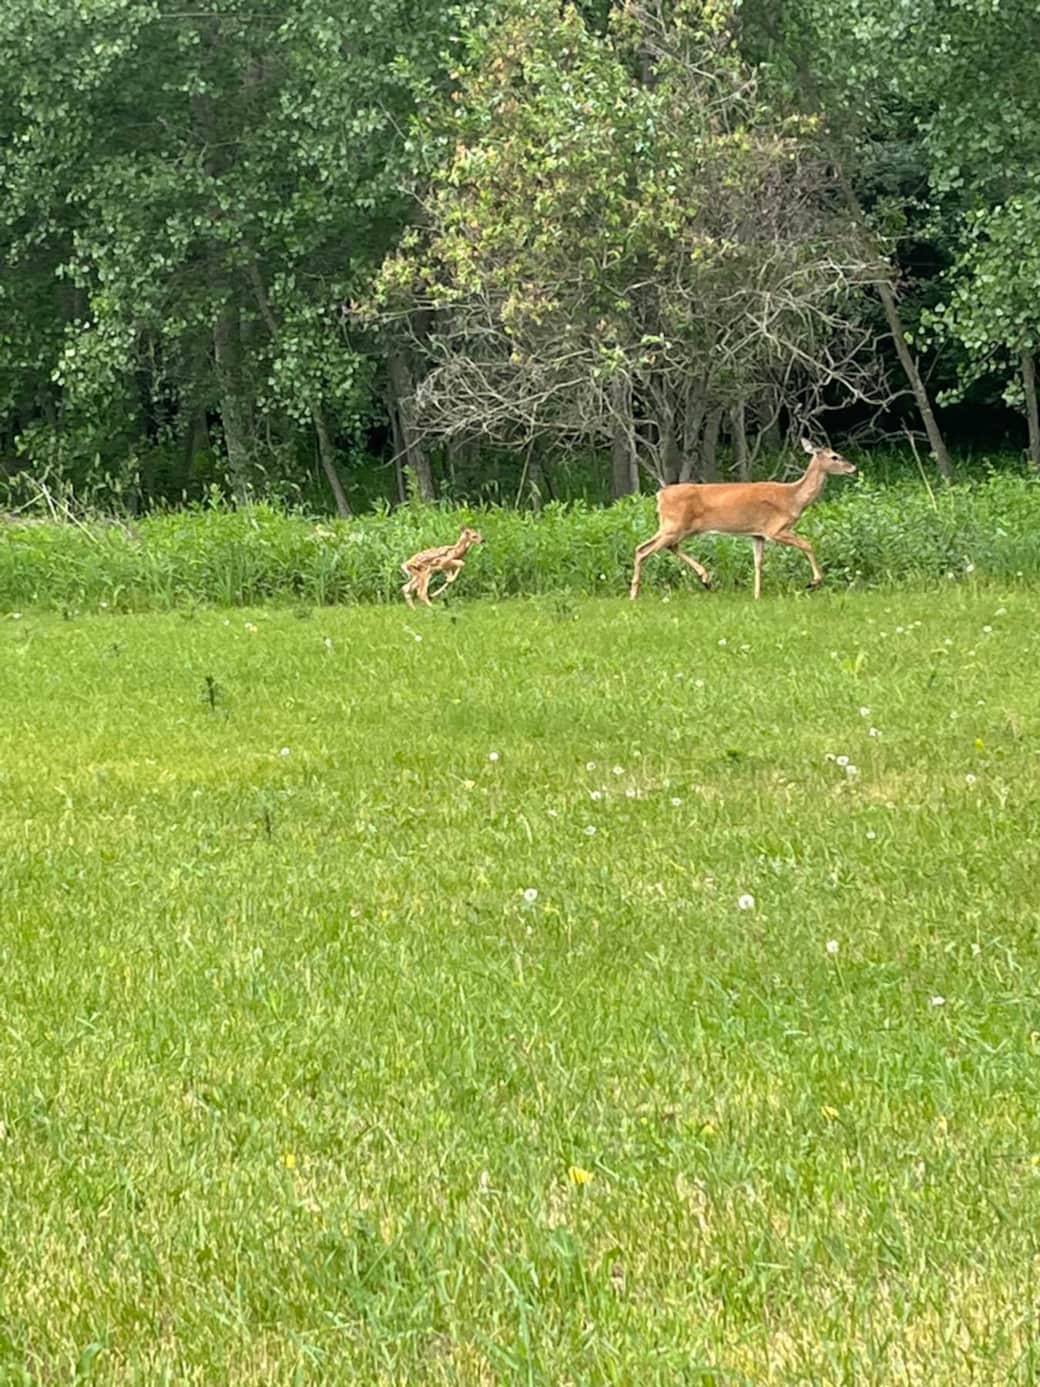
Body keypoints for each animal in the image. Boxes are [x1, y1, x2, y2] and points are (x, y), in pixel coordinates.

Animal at [629, 438, 857, 602]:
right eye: (835, 457)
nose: (853, 467)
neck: (794, 498)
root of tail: (660, 494)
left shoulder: (758, 534)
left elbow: (758, 562)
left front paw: (756, 595)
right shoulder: (775, 529)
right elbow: (807, 544)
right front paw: (814, 582)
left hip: (677, 527)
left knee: (663, 546)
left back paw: (705, 579)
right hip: (674, 526)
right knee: (643, 550)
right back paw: (634, 594)